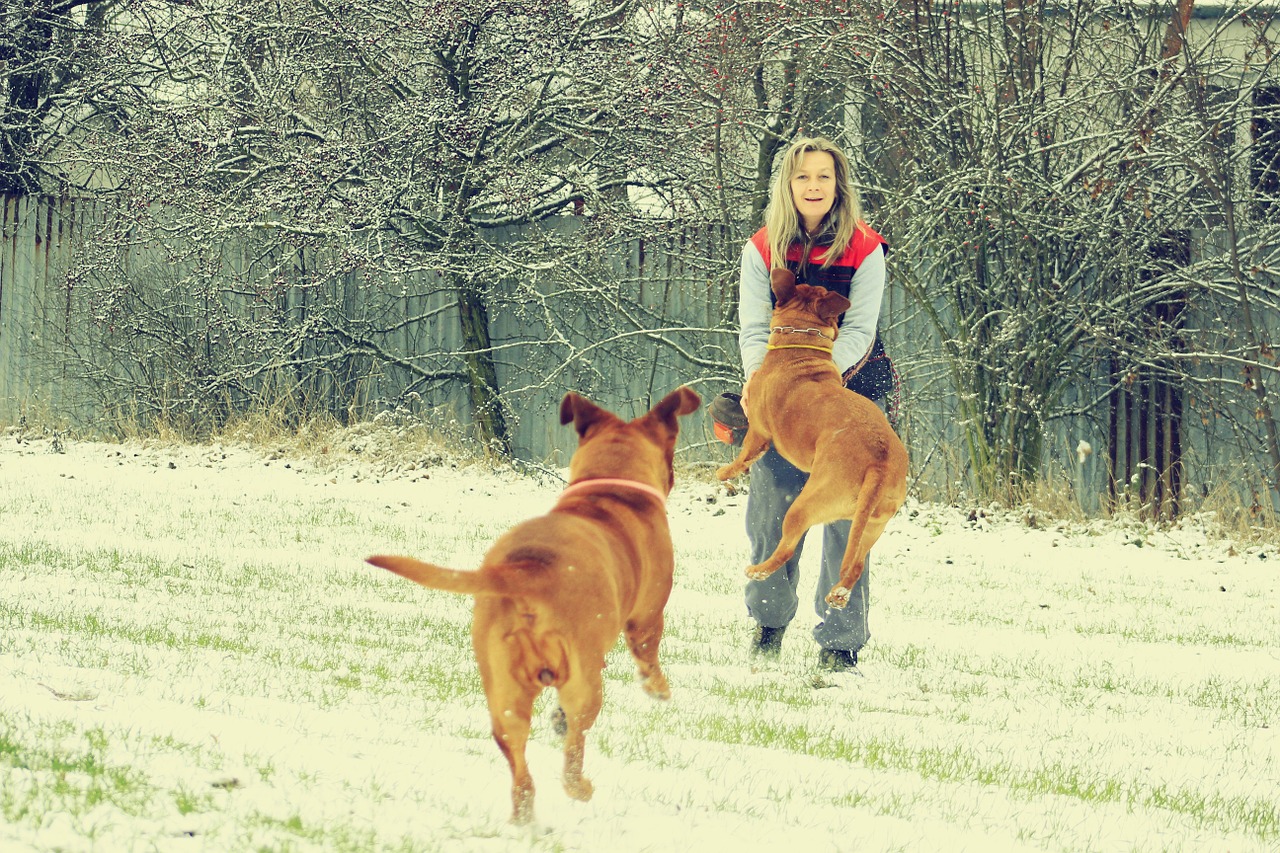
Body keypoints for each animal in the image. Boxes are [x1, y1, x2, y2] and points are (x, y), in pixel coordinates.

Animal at [366, 386, 701, 824]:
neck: (608, 487)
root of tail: (526, 572)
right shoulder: (647, 614)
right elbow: (649, 654)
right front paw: (658, 689)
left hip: (504, 695)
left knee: (521, 765)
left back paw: (523, 818)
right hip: (583, 684)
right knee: (574, 747)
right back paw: (579, 787)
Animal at [716, 268, 906, 607]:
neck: (799, 346)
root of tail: (879, 462)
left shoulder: (758, 432)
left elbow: (744, 456)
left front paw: (726, 472)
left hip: (803, 506)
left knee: (785, 550)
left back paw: (759, 570)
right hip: (873, 525)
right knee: (856, 564)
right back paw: (839, 594)